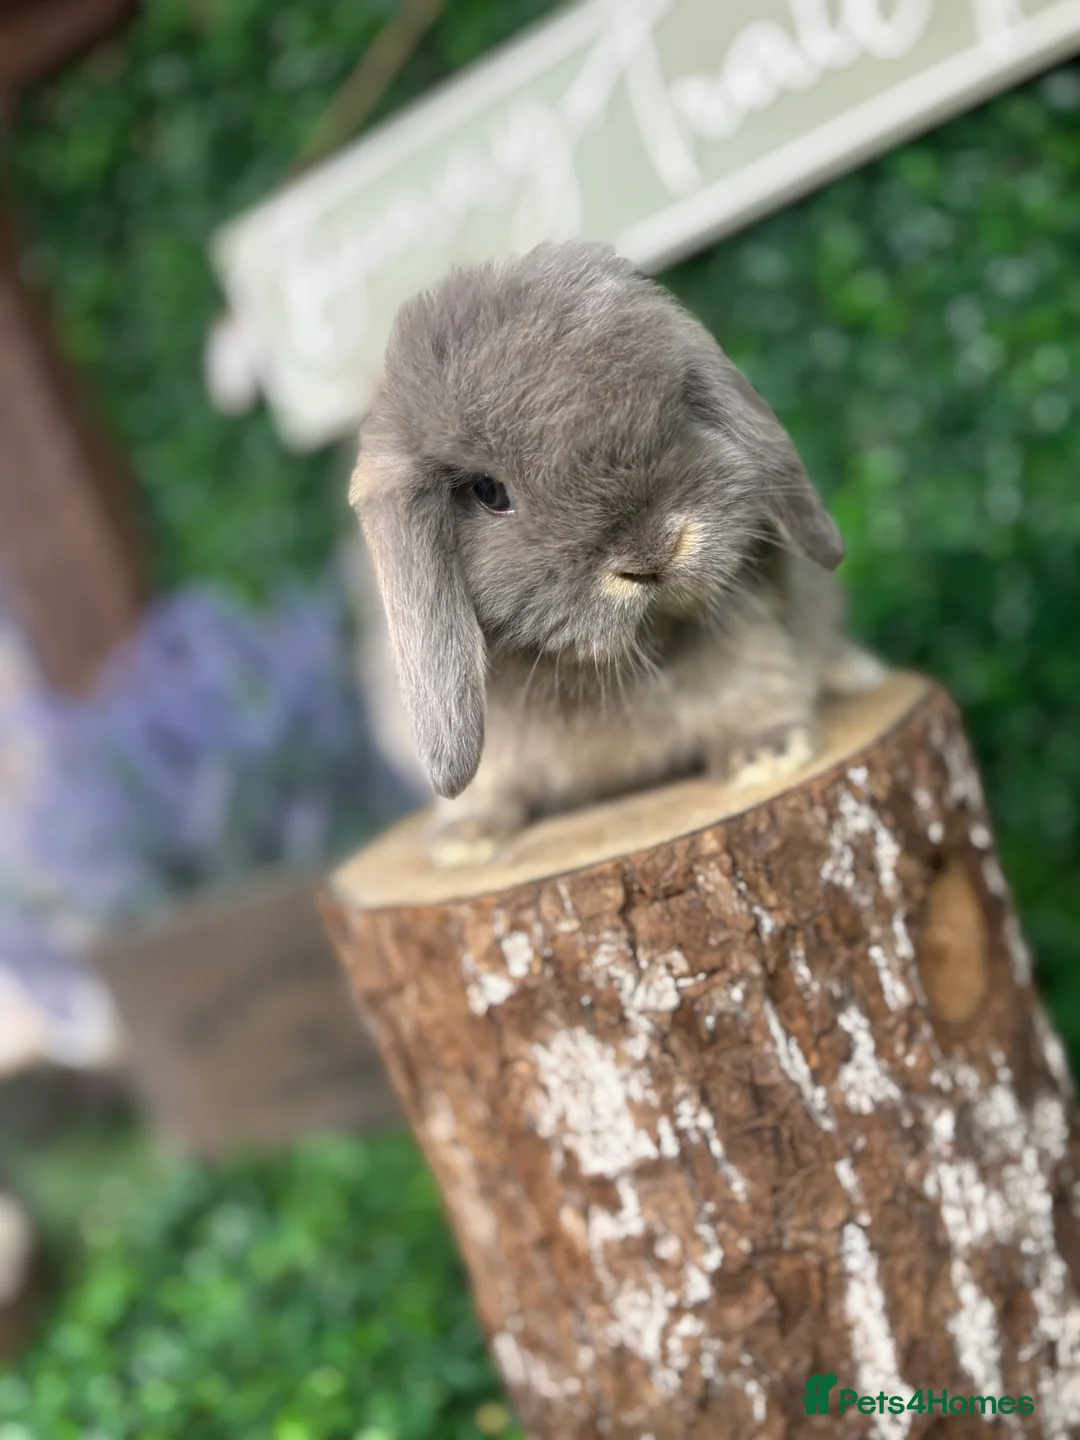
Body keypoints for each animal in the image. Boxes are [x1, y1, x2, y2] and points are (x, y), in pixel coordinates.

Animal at [348, 240, 886, 869]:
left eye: (679, 408)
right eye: (488, 492)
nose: (655, 552)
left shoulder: (747, 631)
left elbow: (751, 684)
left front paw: (767, 754)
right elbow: (492, 786)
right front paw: (465, 840)